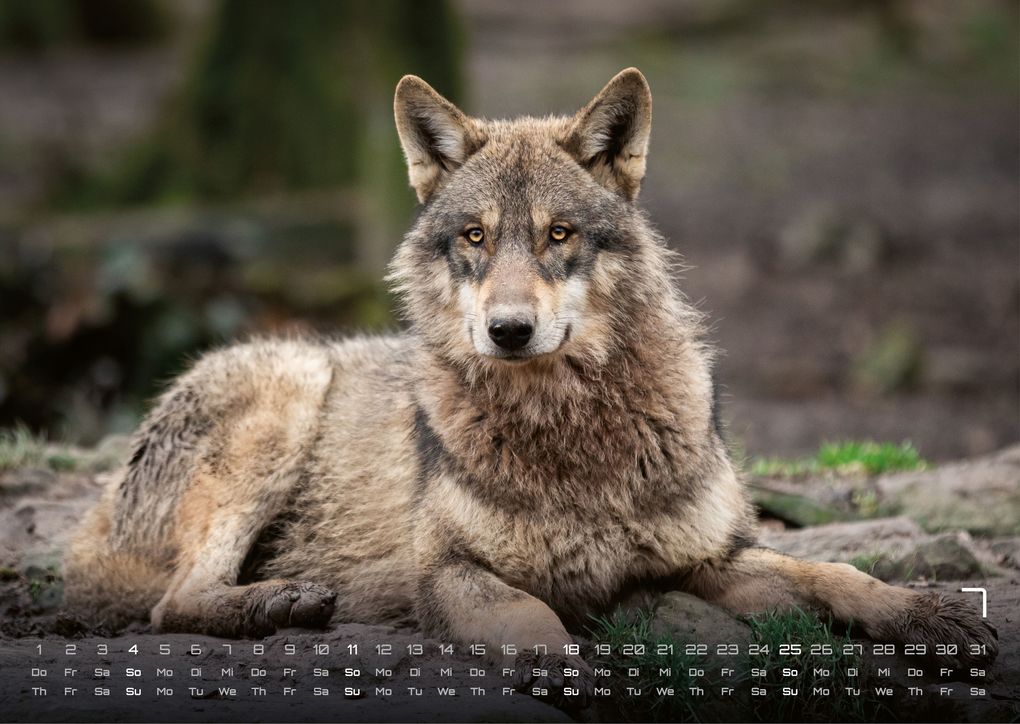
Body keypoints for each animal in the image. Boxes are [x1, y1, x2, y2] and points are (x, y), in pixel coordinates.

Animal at [65, 68, 996, 702]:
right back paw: (280, 602)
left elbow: (833, 572)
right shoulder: (448, 573)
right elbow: (531, 622)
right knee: (172, 605)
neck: (571, 432)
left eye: (558, 234)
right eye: (475, 237)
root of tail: (94, 523)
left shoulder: (710, 554)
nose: (508, 330)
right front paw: (571, 673)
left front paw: (929, 615)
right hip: (285, 392)